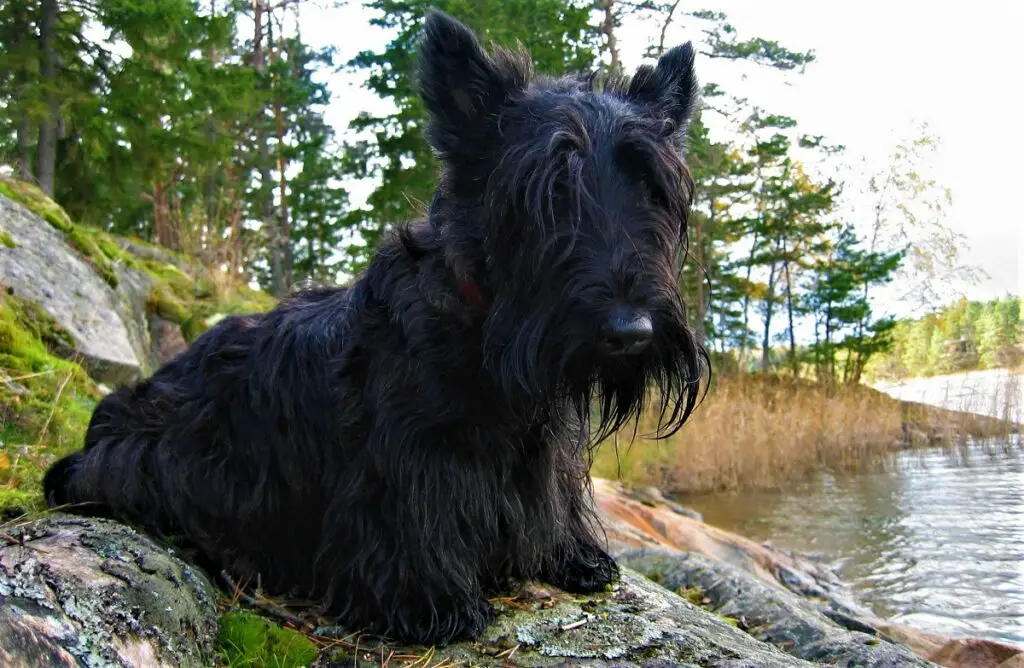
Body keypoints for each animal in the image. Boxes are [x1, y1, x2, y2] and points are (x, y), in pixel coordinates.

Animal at [41, 10, 704, 647]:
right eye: (548, 190)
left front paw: (572, 553)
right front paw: (435, 602)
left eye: (653, 190)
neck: (481, 327)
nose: (632, 332)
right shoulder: (404, 468)